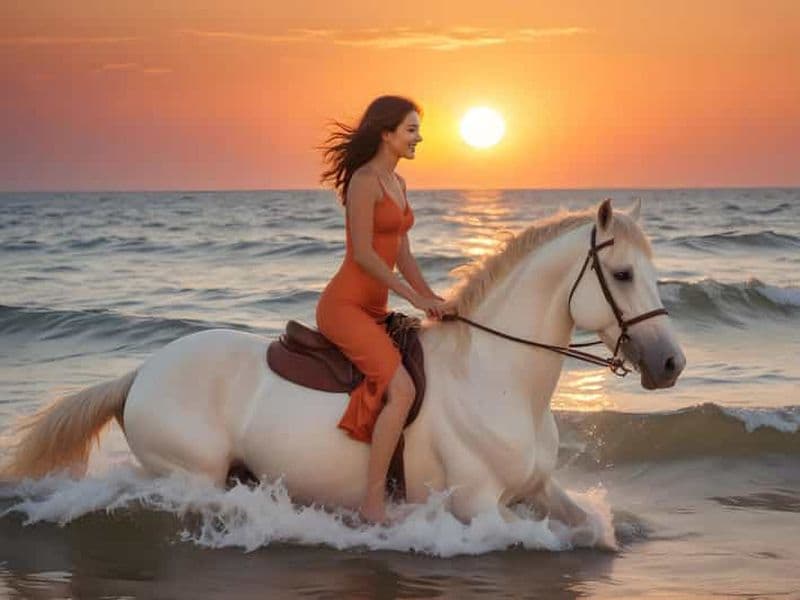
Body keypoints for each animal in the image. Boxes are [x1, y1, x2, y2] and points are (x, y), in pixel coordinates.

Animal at [1, 199, 685, 535]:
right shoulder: (480, 506)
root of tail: (140, 374)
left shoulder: (539, 488)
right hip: (191, 473)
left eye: (654, 273)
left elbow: (591, 531)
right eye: (623, 274)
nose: (672, 362)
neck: (493, 380)